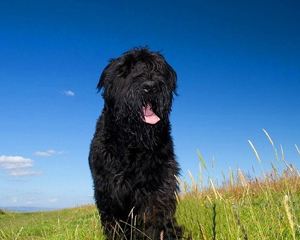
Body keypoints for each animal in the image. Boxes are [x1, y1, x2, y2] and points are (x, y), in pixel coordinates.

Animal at [89, 47, 183, 239]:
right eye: (127, 69)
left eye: (157, 68)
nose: (150, 86)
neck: (133, 144)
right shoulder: (108, 188)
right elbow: (114, 223)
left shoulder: (158, 184)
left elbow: (154, 217)